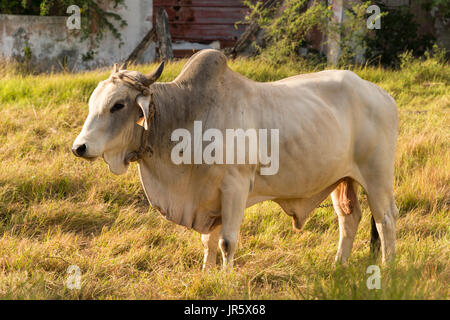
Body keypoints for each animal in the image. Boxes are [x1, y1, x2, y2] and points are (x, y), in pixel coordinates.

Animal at [72, 49, 400, 270]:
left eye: (118, 105)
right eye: (93, 102)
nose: (80, 147)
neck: (187, 117)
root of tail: (382, 94)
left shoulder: (235, 188)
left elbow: (226, 242)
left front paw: (225, 279)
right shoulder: (207, 199)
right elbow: (207, 242)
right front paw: (206, 275)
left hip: (378, 177)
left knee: (385, 220)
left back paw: (388, 268)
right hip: (341, 179)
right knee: (349, 219)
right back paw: (338, 265)